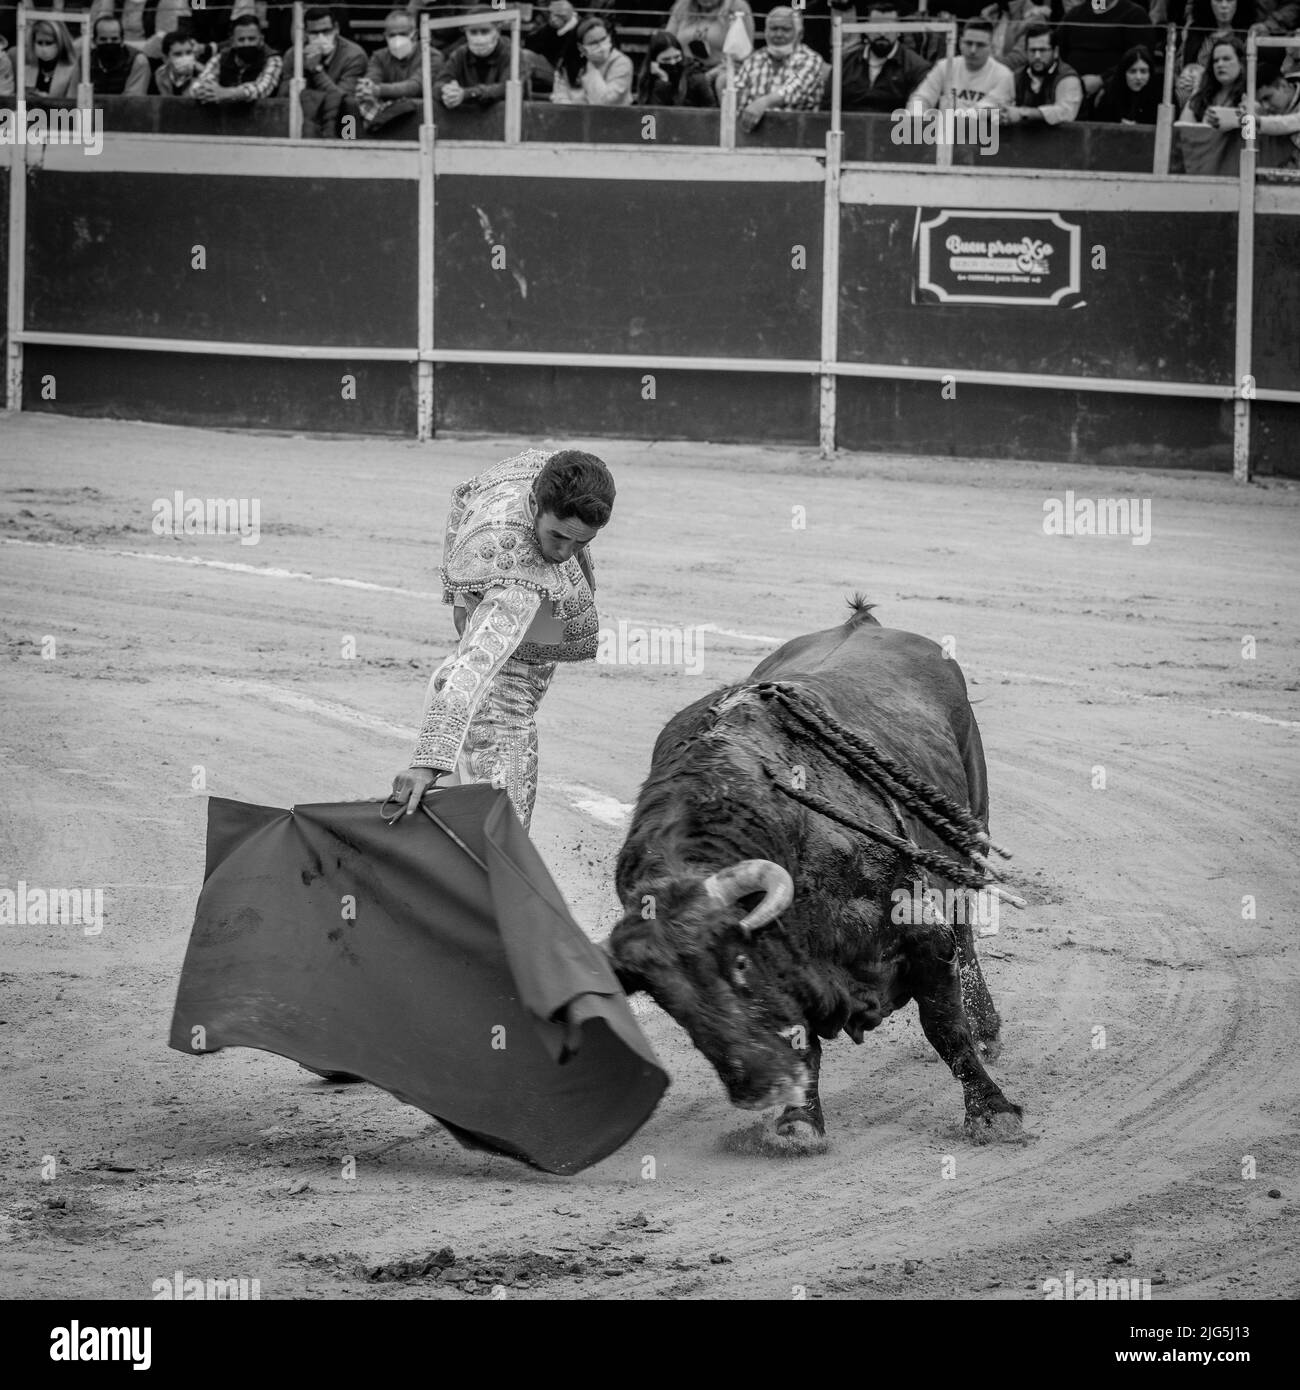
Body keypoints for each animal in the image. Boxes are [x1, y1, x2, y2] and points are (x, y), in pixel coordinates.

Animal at [608, 603, 1028, 1145]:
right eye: (666, 1002)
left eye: (739, 964)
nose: (754, 1087)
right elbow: (802, 1038)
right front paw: (799, 1121)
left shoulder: (923, 933)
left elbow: (945, 1028)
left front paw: (992, 1111)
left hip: (972, 822)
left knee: (967, 929)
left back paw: (987, 1029)